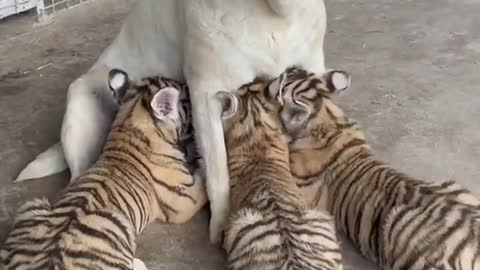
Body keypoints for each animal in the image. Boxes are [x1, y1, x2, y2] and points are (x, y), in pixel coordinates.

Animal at [15, 0, 330, 245]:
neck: (273, 13)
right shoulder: (208, 94)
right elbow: (218, 173)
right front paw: (222, 227)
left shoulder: (313, 68)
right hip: (80, 100)